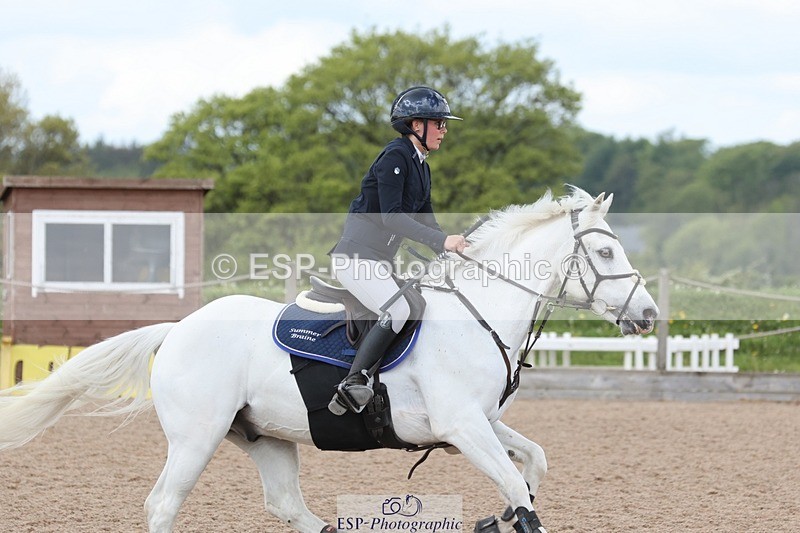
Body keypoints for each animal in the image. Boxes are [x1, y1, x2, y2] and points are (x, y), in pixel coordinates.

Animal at [0, 188, 657, 533]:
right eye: (604, 252)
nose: (648, 316)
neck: (480, 311)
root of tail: (179, 328)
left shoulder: (481, 423)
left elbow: (533, 465)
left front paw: (495, 518)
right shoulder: (463, 426)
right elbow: (519, 487)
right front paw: (507, 516)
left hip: (265, 435)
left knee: (287, 505)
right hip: (197, 436)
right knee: (163, 505)